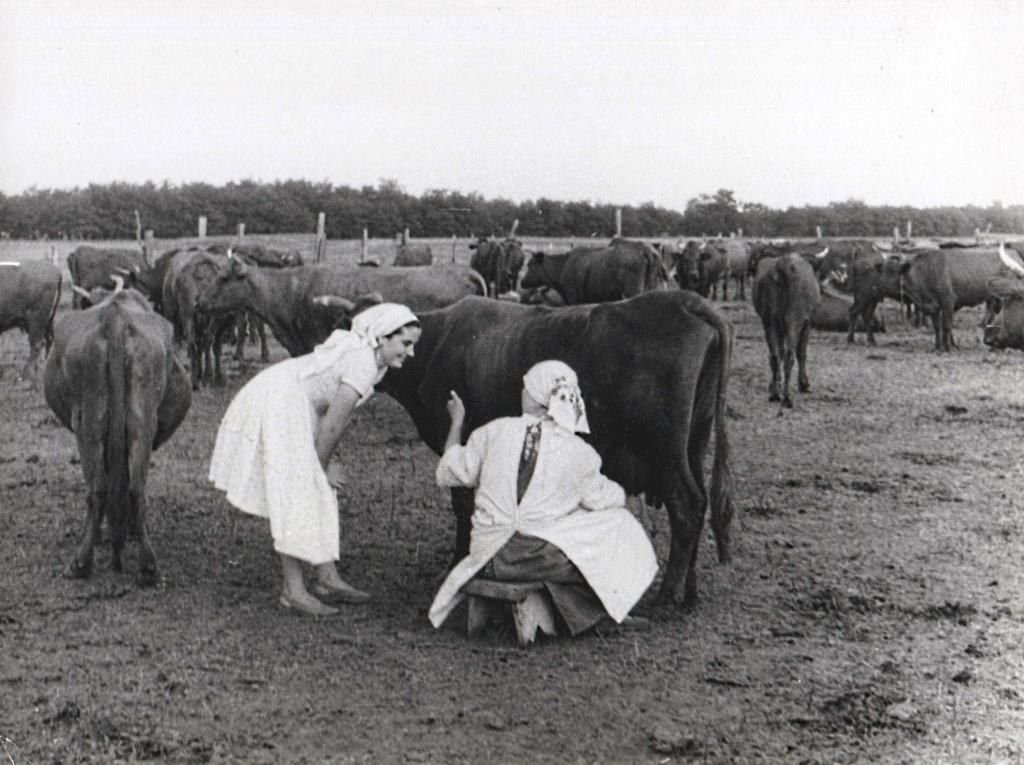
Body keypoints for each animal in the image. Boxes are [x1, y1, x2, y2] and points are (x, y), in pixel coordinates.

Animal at [41, 290, 192, 581]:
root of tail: (115, 318)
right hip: (141, 421)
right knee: (135, 488)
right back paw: (148, 567)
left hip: (87, 421)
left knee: (97, 488)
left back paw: (81, 563)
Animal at [378, 290, 737, 610]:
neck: (437, 342)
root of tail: (685, 300)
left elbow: (464, 507)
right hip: (694, 444)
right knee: (701, 502)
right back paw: (688, 593)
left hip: (666, 453)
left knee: (687, 505)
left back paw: (666, 597)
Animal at [524, 236, 667, 305]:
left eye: (530, 264)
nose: (522, 282)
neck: (563, 265)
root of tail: (645, 249)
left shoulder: (573, 297)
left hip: (633, 292)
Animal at [749, 252, 819, 409]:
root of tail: (784, 265)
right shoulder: (807, 324)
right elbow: (801, 353)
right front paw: (804, 384)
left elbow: (779, 352)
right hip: (793, 321)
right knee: (790, 355)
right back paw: (787, 397)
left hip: (770, 322)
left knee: (775, 356)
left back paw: (775, 393)